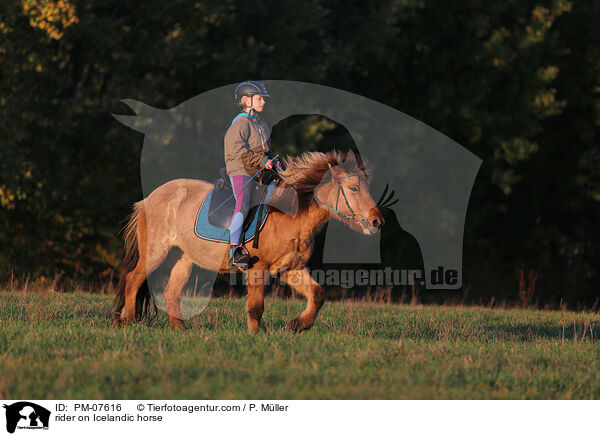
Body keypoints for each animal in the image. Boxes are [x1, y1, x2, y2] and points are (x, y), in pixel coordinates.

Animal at [112, 152, 384, 332]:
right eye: (354, 188)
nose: (377, 221)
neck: (288, 216)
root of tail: (148, 199)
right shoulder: (257, 269)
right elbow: (256, 307)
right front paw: (255, 336)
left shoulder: (291, 269)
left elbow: (317, 294)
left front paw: (297, 325)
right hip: (155, 252)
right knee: (134, 279)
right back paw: (126, 320)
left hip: (184, 258)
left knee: (171, 292)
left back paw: (180, 329)